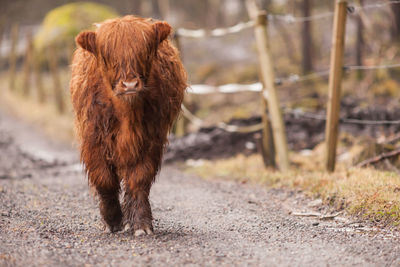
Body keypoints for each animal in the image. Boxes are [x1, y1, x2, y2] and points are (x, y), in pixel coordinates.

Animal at [69, 15, 187, 237]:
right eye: (107, 56)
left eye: (144, 52)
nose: (130, 85)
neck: (126, 115)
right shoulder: (93, 138)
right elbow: (104, 179)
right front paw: (112, 220)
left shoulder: (151, 139)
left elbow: (139, 179)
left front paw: (140, 224)